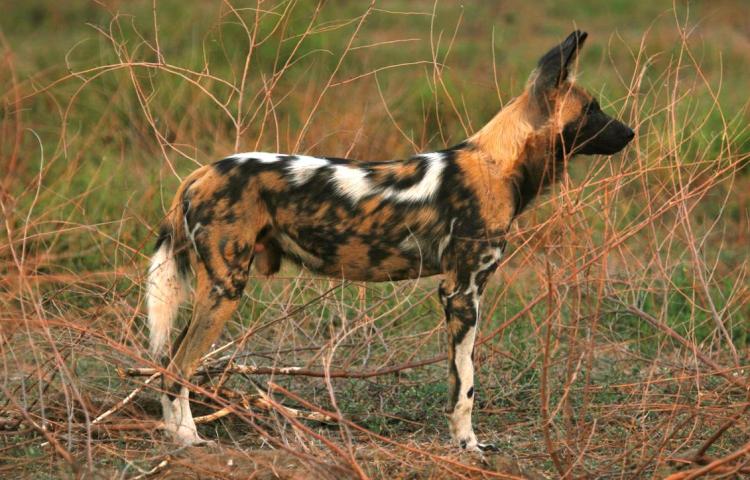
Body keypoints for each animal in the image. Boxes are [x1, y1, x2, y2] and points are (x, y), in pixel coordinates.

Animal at [147, 30, 636, 450]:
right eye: (592, 109)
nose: (630, 133)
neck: (498, 163)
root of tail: (200, 173)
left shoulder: (457, 293)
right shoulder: (462, 293)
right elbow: (465, 386)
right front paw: (468, 445)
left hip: (215, 290)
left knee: (166, 362)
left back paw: (175, 435)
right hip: (226, 288)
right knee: (177, 368)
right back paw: (189, 439)